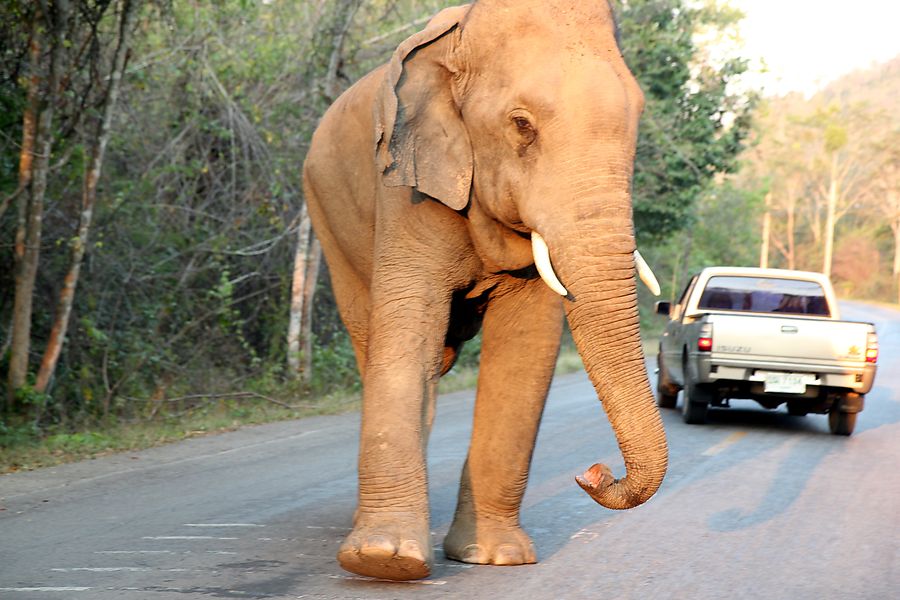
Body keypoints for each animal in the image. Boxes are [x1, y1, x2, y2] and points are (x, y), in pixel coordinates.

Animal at [302, 0, 668, 580]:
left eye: (637, 120)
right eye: (522, 126)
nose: (592, 471)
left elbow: (528, 345)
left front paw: (496, 557)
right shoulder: (404, 184)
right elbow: (408, 323)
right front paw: (385, 562)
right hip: (327, 216)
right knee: (383, 343)